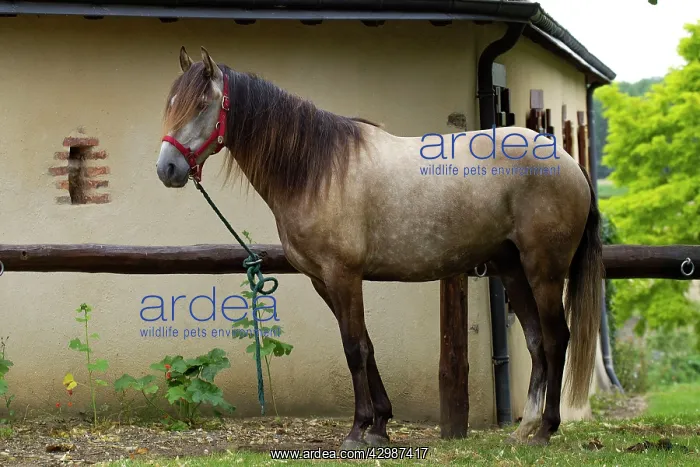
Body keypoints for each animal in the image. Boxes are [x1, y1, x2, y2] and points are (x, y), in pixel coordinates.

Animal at [156, 46, 603, 450]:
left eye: (201, 105)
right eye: (171, 104)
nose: (167, 169)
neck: (317, 170)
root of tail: (567, 161)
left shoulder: (343, 275)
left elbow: (354, 348)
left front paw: (358, 429)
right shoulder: (324, 281)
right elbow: (366, 345)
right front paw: (380, 424)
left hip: (544, 271)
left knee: (556, 339)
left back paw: (546, 429)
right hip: (512, 270)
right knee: (535, 341)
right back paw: (524, 429)